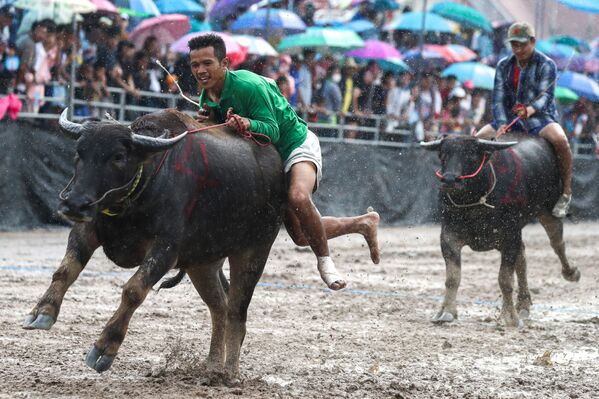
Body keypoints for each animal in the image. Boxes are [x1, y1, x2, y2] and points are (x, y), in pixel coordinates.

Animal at [21, 108, 288, 382]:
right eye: (79, 152)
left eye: (118, 156)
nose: (74, 204)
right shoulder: (87, 228)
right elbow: (65, 271)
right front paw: (42, 312)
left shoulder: (165, 250)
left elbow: (134, 290)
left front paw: (104, 349)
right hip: (203, 262)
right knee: (219, 307)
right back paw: (213, 366)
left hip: (254, 251)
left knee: (236, 310)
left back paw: (229, 373)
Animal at [422, 135, 580, 328]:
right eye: (442, 154)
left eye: (471, 155)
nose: (450, 180)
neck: (476, 203)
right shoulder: (448, 237)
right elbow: (452, 278)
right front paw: (446, 312)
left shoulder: (510, 237)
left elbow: (505, 280)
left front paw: (509, 318)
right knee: (522, 257)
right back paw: (523, 305)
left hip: (548, 212)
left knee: (557, 243)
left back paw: (571, 273)